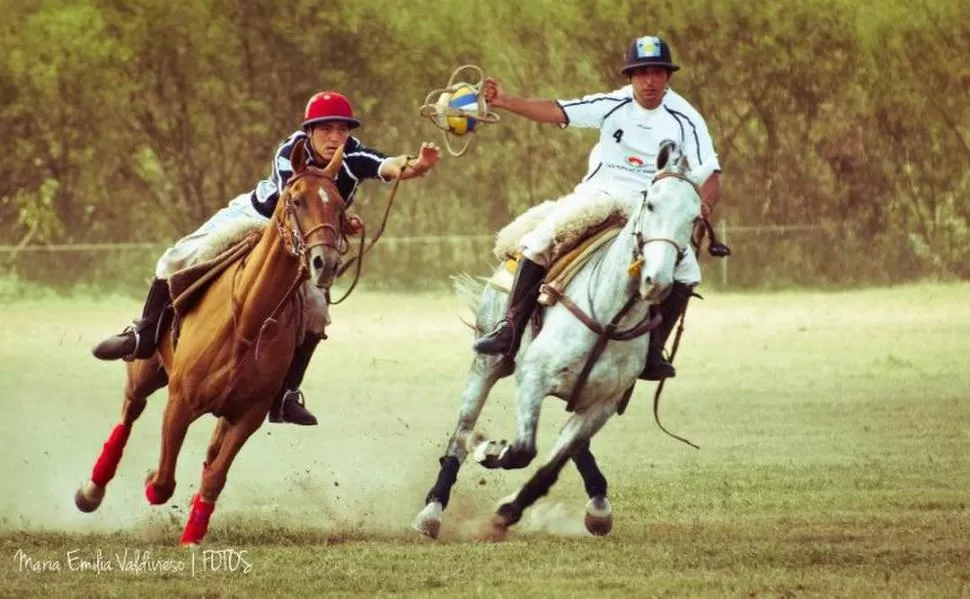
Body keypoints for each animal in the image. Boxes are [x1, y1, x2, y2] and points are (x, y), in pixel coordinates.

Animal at [76, 138, 348, 548]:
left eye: (339, 205)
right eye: (297, 200)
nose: (324, 263)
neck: (247, 319)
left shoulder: (248, 416)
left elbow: (215, 476)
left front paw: (192, 534)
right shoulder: (180, 403)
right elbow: (163, 482)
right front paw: (150, 485)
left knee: (207, 453)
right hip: (145, 371)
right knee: (129, 413)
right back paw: (90, 492)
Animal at [412, 141, 716, 540]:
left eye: (695, 216)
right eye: (650, 203)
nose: (657, 281)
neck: (609, 316)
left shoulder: (602, 404)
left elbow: (551, 465)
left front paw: (507, 512)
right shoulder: (532, 378)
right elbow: (523, 450)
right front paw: (488, 449)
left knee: (573, 447)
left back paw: (598, 503)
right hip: (486, 364)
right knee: (460, 432)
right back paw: (432, 510)